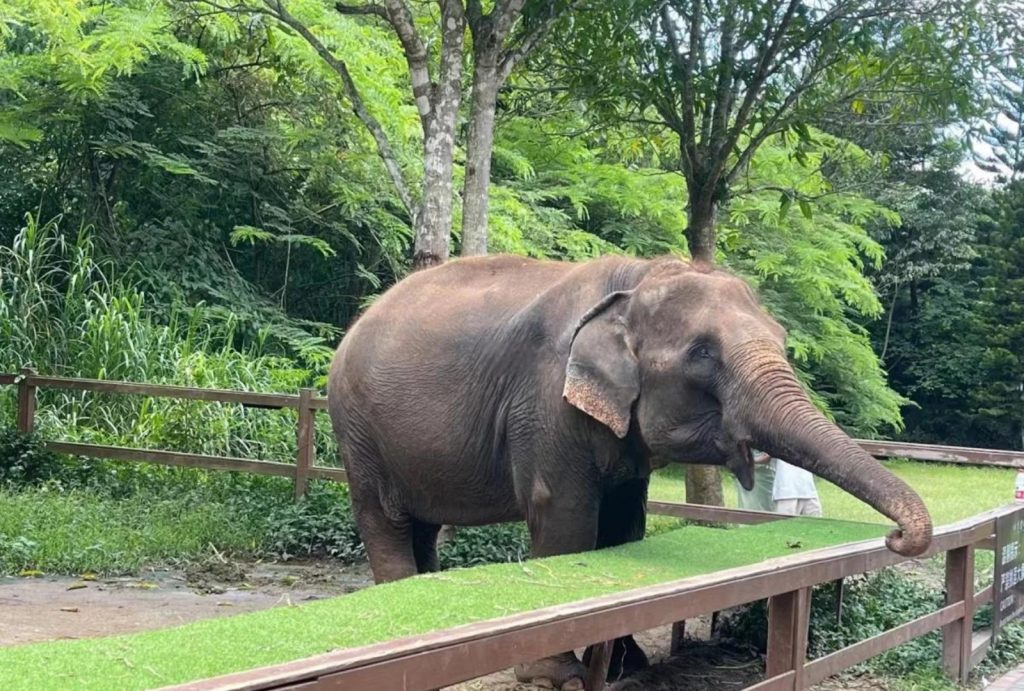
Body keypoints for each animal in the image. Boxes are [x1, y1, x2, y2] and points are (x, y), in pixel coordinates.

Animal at [327, 254, 932, 689]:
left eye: (783, 342)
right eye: (702, 353)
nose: (895, 537)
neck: (637, 277)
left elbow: (625, 523)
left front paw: (629, 665)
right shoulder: (546, 402)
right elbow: (566, 517)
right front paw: (561, 679)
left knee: (421, 525)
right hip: (358, 430)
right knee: (383, 518)